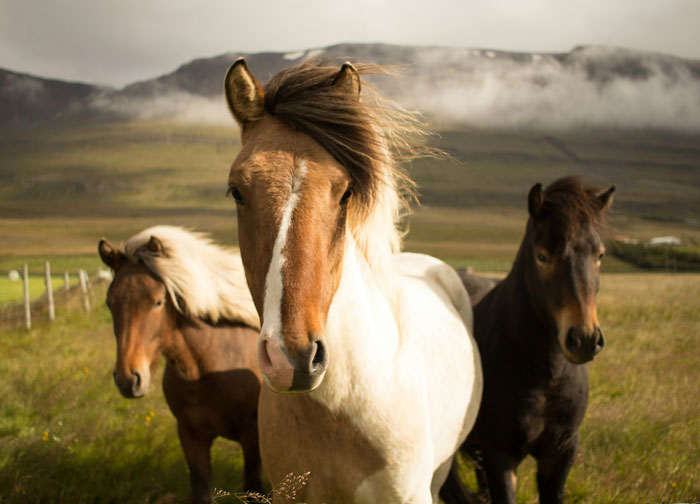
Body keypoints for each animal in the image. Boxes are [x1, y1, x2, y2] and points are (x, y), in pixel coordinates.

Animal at [97, 225, 264, 503]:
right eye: (110, 303)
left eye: (158, 301)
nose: (128, 379)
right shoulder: (190, 436)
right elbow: (201, 490)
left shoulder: (252, 437)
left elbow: (255, 488)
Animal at [443, 177, 615, 504]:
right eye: (542, 255)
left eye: (599, 255)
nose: (584, 339)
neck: (546, 377)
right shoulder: (500, 456)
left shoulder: (561, 453)